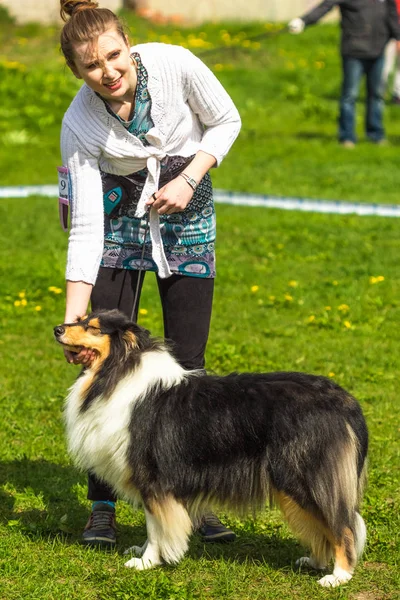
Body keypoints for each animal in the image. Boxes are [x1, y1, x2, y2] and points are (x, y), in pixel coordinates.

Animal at [54, 310, 368, 584]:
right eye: (81, 318)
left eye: (94, 328)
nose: (57, 329)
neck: (117, 372)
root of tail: (344, 400)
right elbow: (154, 523)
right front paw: (145, 553)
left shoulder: (152, 478)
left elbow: (156, 527)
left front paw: (147, 561)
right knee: (323, 527)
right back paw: (314, 562)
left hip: (306, 476)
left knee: (342, 526)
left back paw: (338, 577)